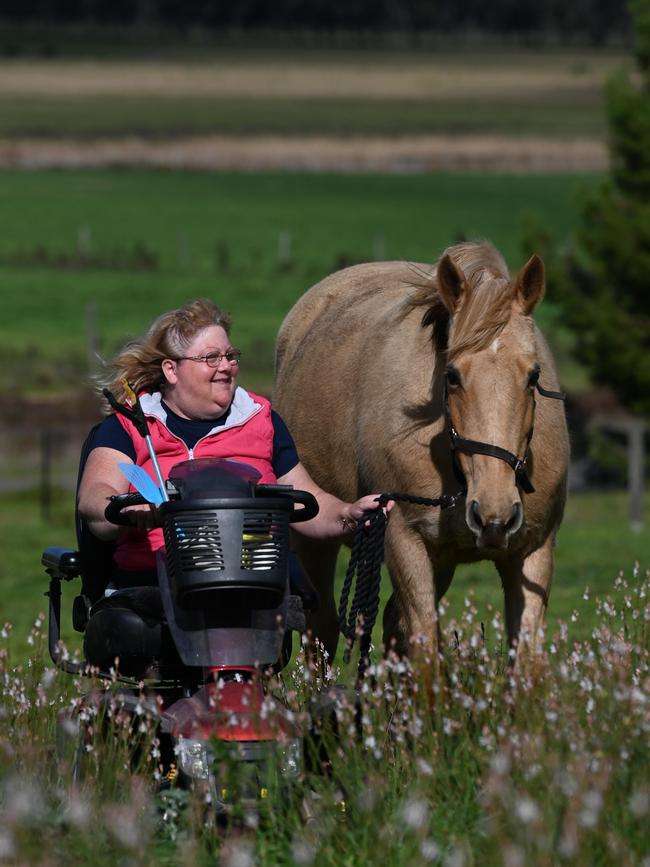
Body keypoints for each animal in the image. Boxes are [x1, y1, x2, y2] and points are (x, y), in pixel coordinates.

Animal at [274, 241, 568, 668]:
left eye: (533, 375)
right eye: (452, 375)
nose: (494, 515)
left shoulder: (533, 553)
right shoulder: (403, 541)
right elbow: (425, 647)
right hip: (314, 540)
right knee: (322, 632)